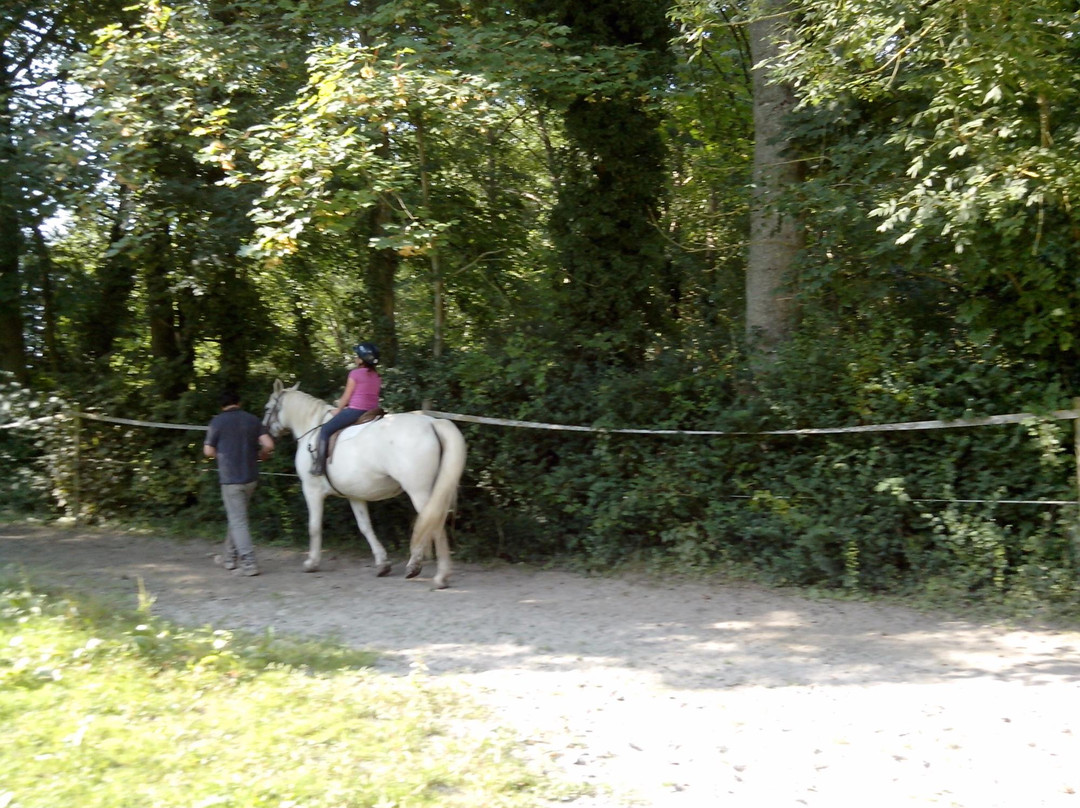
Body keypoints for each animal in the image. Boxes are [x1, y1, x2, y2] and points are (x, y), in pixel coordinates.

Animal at [263, 378, 466, 587]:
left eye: (267, 408)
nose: (266, 435)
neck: (312, 429)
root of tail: (432, 422)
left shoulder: (311, 490)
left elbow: (314, 526)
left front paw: (311, 563)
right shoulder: (354, 495)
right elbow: (365, 527)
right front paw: (382, 564)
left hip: (419, 492)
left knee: (434, 524)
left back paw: (441, 576)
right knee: (427, 521)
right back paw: (414, 567)